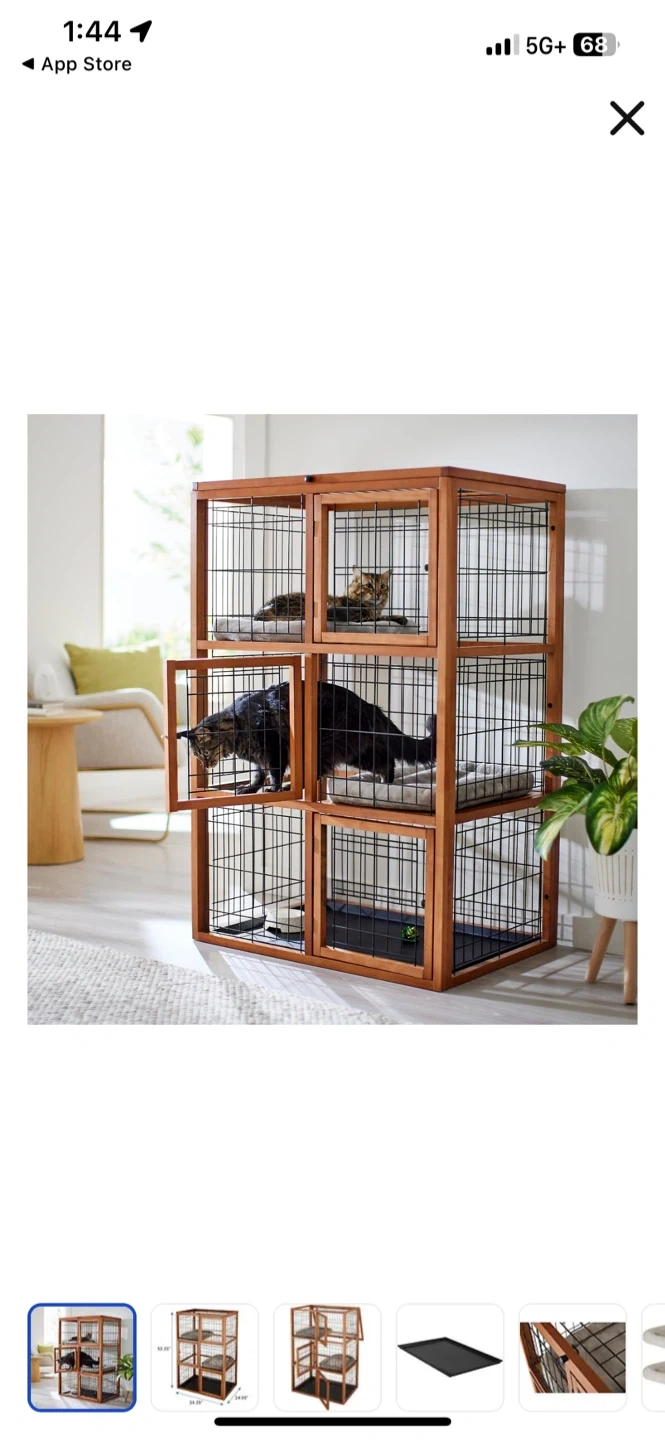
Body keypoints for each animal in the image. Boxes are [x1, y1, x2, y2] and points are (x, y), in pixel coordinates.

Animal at [178, 681, 436, 794]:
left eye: (205, 752)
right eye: (198, 756)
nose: (205, 764)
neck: (239, 726)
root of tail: (367, 704)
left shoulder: (274, 748)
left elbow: (273, 772)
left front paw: (274, 788)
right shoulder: (260, 758)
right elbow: (258, 775)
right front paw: (250, 788)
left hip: (326, 744)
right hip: (355, 752)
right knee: (385, 761)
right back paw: (387, 784)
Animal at [255, 567, 409, 626]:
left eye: (382, 586)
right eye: (369, 586)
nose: (378, 594)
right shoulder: (359, 616)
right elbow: (384, 617)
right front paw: (401, 618)